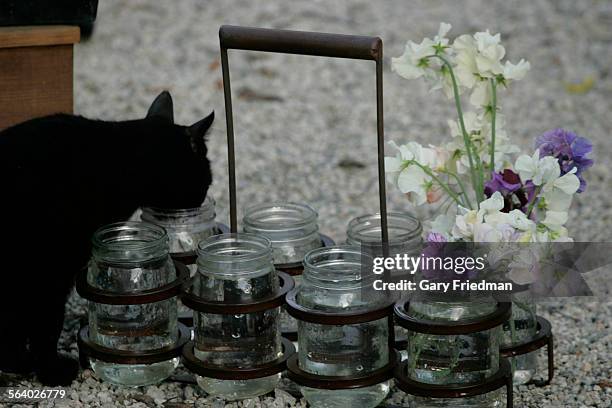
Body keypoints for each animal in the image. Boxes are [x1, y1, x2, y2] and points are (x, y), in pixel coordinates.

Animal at [0, 91, 215, 386]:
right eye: (207, 180)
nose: (204, 197)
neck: (118, 164)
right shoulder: (48, 272)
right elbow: (46, 324)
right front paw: (50, 370)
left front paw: (18, 362)